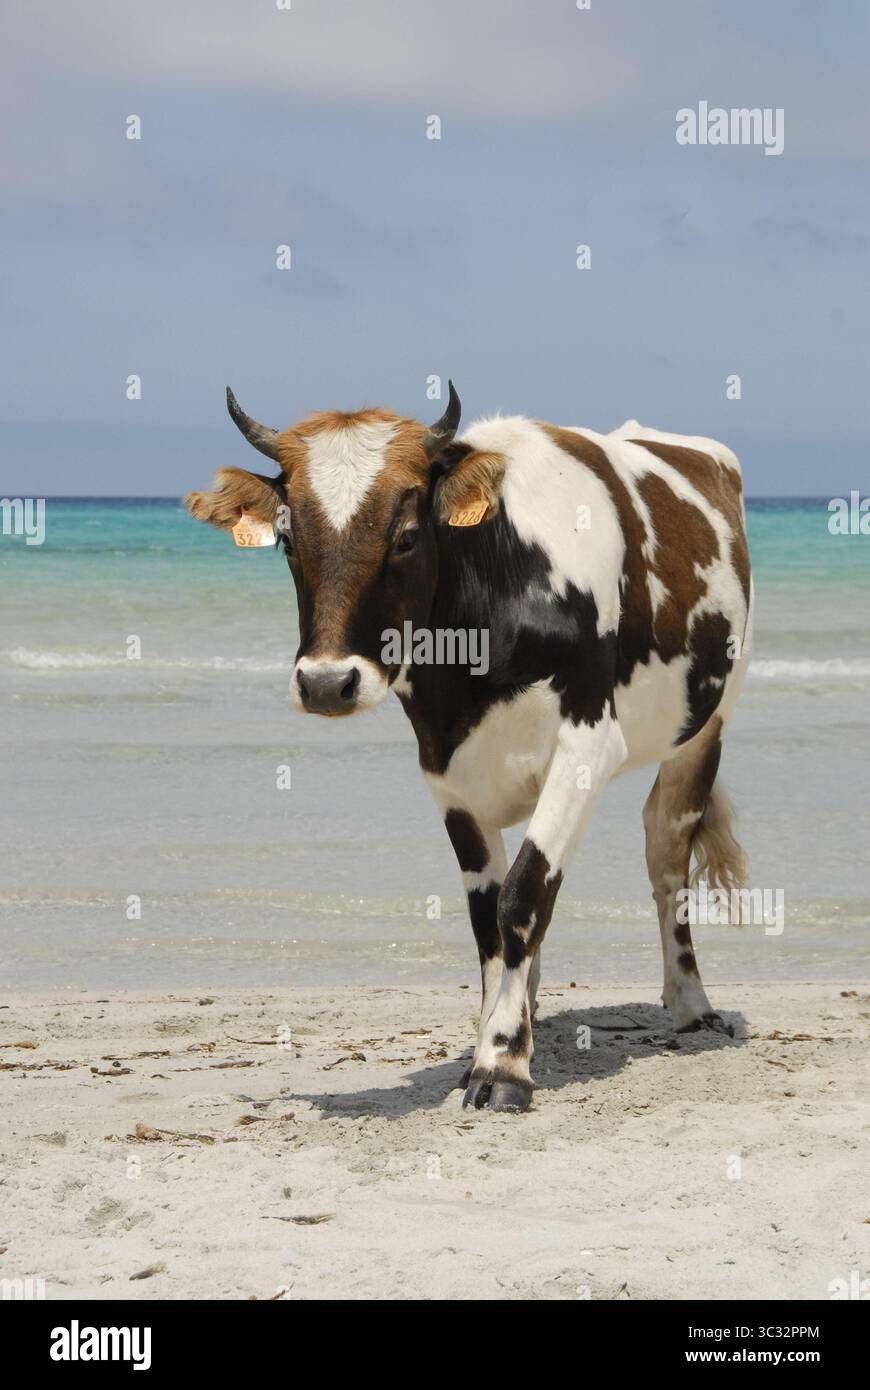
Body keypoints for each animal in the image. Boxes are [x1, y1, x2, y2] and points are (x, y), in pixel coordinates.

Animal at [186, 383, 753, 1113]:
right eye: (287, 539)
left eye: (405, 536)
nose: (326, 683)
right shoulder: (446, 769)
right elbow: (491, 916)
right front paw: (496, 1038)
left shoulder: (587, 747)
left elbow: (523, 896)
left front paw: (502, 1064)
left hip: (709, 720)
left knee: (666, 846)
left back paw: (690, 1003)